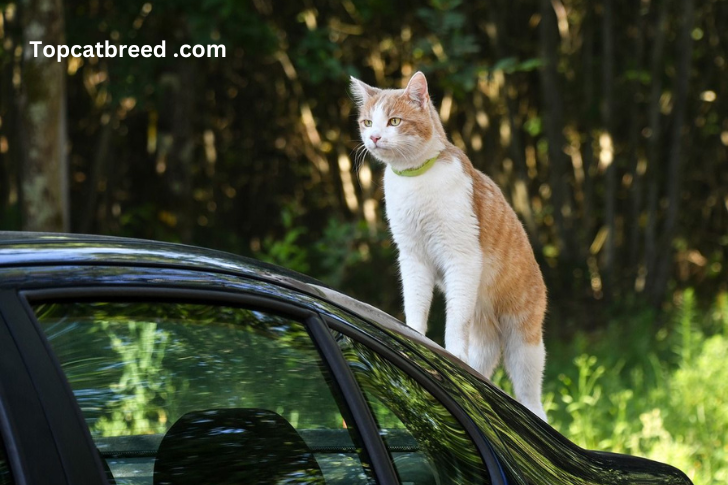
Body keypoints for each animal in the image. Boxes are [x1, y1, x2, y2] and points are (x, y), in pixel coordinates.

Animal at [352, 72, 544, 420]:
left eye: (394, 121)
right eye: (367, 121)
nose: (373, 137)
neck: (415, 180)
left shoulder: (462, 256)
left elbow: (455, 320)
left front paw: (451, 350)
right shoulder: (413, 257)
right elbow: (415, 303)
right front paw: (412, 336)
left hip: (523, 342)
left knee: (532, 400)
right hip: (484, 334)